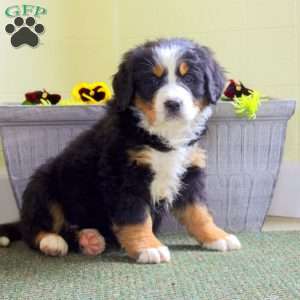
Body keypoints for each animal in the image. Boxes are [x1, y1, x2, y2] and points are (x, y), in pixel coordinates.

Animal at [0, 37, 240, 262]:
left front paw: (217, 236)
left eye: (189, 78)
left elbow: (199, 212)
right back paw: (53, 242)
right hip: (43, 184)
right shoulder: (123, 177)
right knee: (34, 228)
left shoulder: (189, 172)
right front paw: (148, 247)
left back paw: (89, 240)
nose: (173, 103)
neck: (163, 137)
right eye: (152, 80)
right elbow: (136, 217)